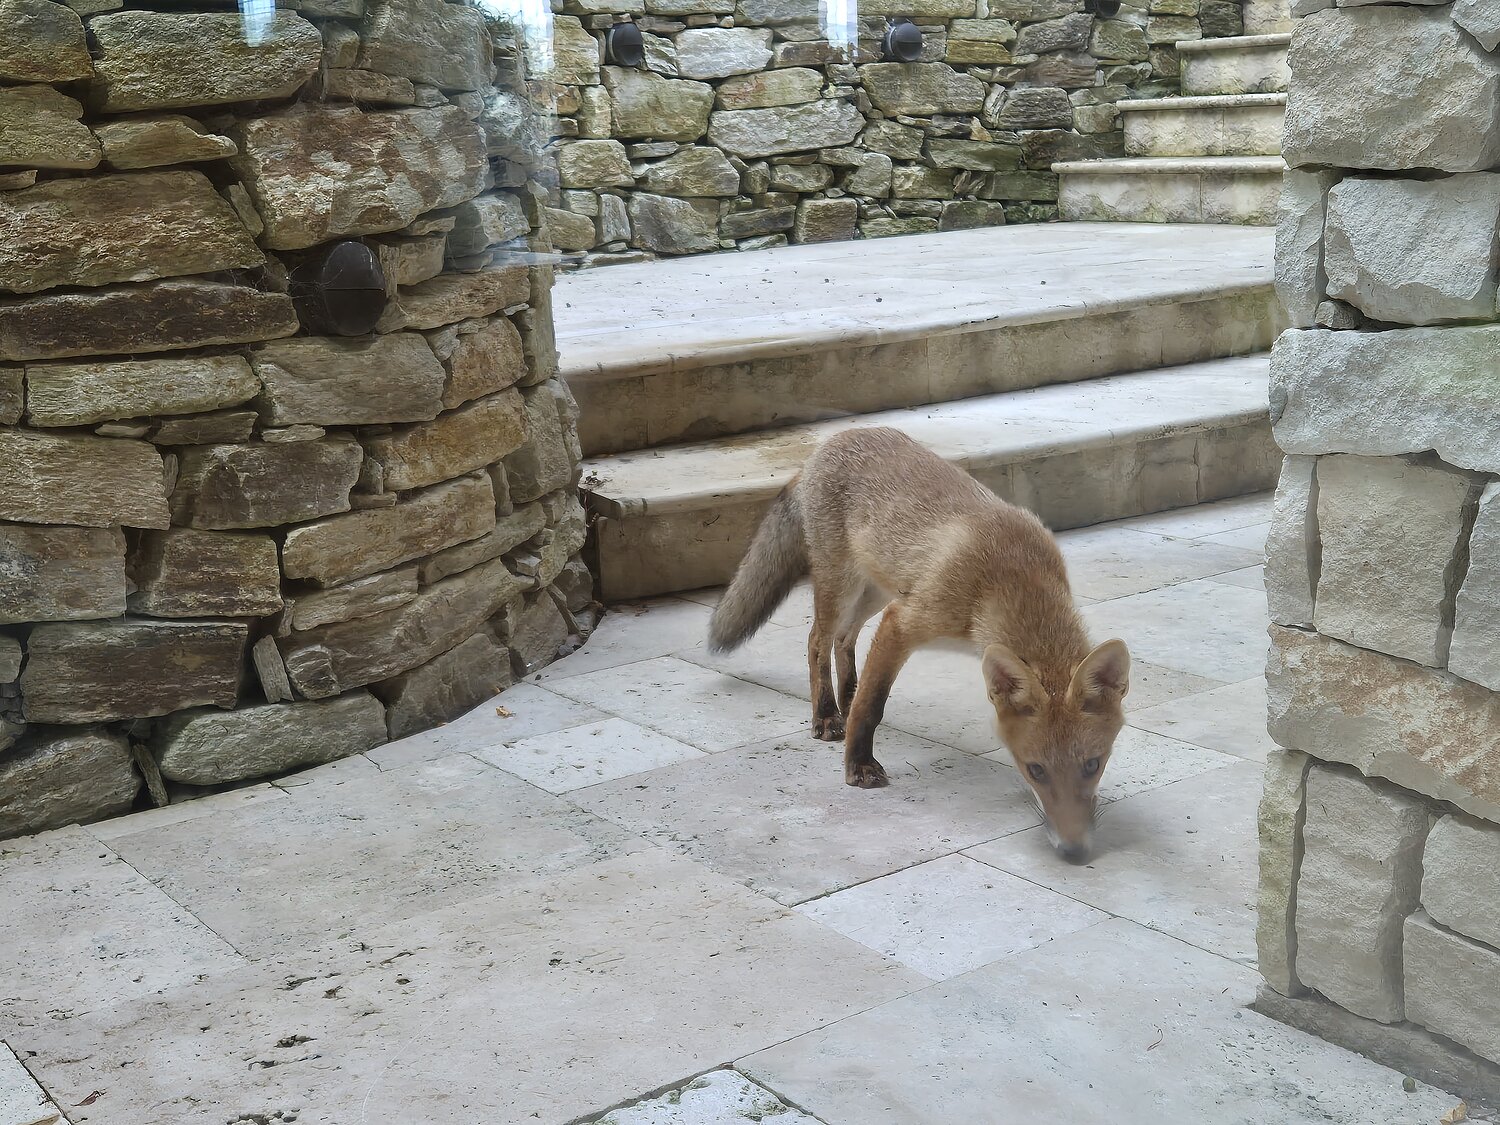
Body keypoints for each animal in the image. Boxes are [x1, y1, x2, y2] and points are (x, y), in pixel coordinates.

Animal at [708, 426, 1128, 870]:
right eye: (1036, 770)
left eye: (1093, 764)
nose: (1075, 851)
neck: (1010, 580)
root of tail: (830, 442)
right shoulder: (904, 621)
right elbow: (872, 706)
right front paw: (858, 766)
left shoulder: (899, 612)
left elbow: (868, 691)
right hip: (844, 586)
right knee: (816, 642)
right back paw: (827, 715)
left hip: (877, 588)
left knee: (845, 639)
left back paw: (846, 696)